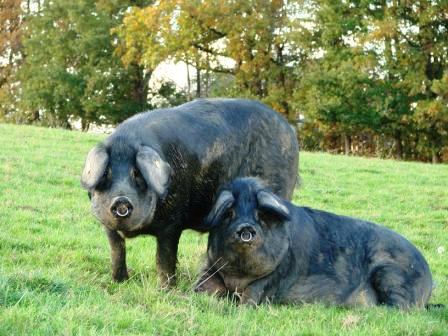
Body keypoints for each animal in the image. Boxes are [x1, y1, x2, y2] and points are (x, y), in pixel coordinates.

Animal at [81, 98, 298, 286]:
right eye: (106, 173)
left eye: (137, 173)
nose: (121, 200)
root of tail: (290, 130)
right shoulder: (108, 227)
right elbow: (117, 252)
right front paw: (119, 282)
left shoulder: (172, 222)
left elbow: (164, 257)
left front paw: (166, 289)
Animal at [197, 178, 434, 310]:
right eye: (229, 213)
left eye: (261, 215)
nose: (246, 228)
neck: (238, 276)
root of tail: (430, 280)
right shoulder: (211, 267)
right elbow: (201, 286)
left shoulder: (274, 277)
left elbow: (251, 297)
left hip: (392, 274)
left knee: (401, 309)